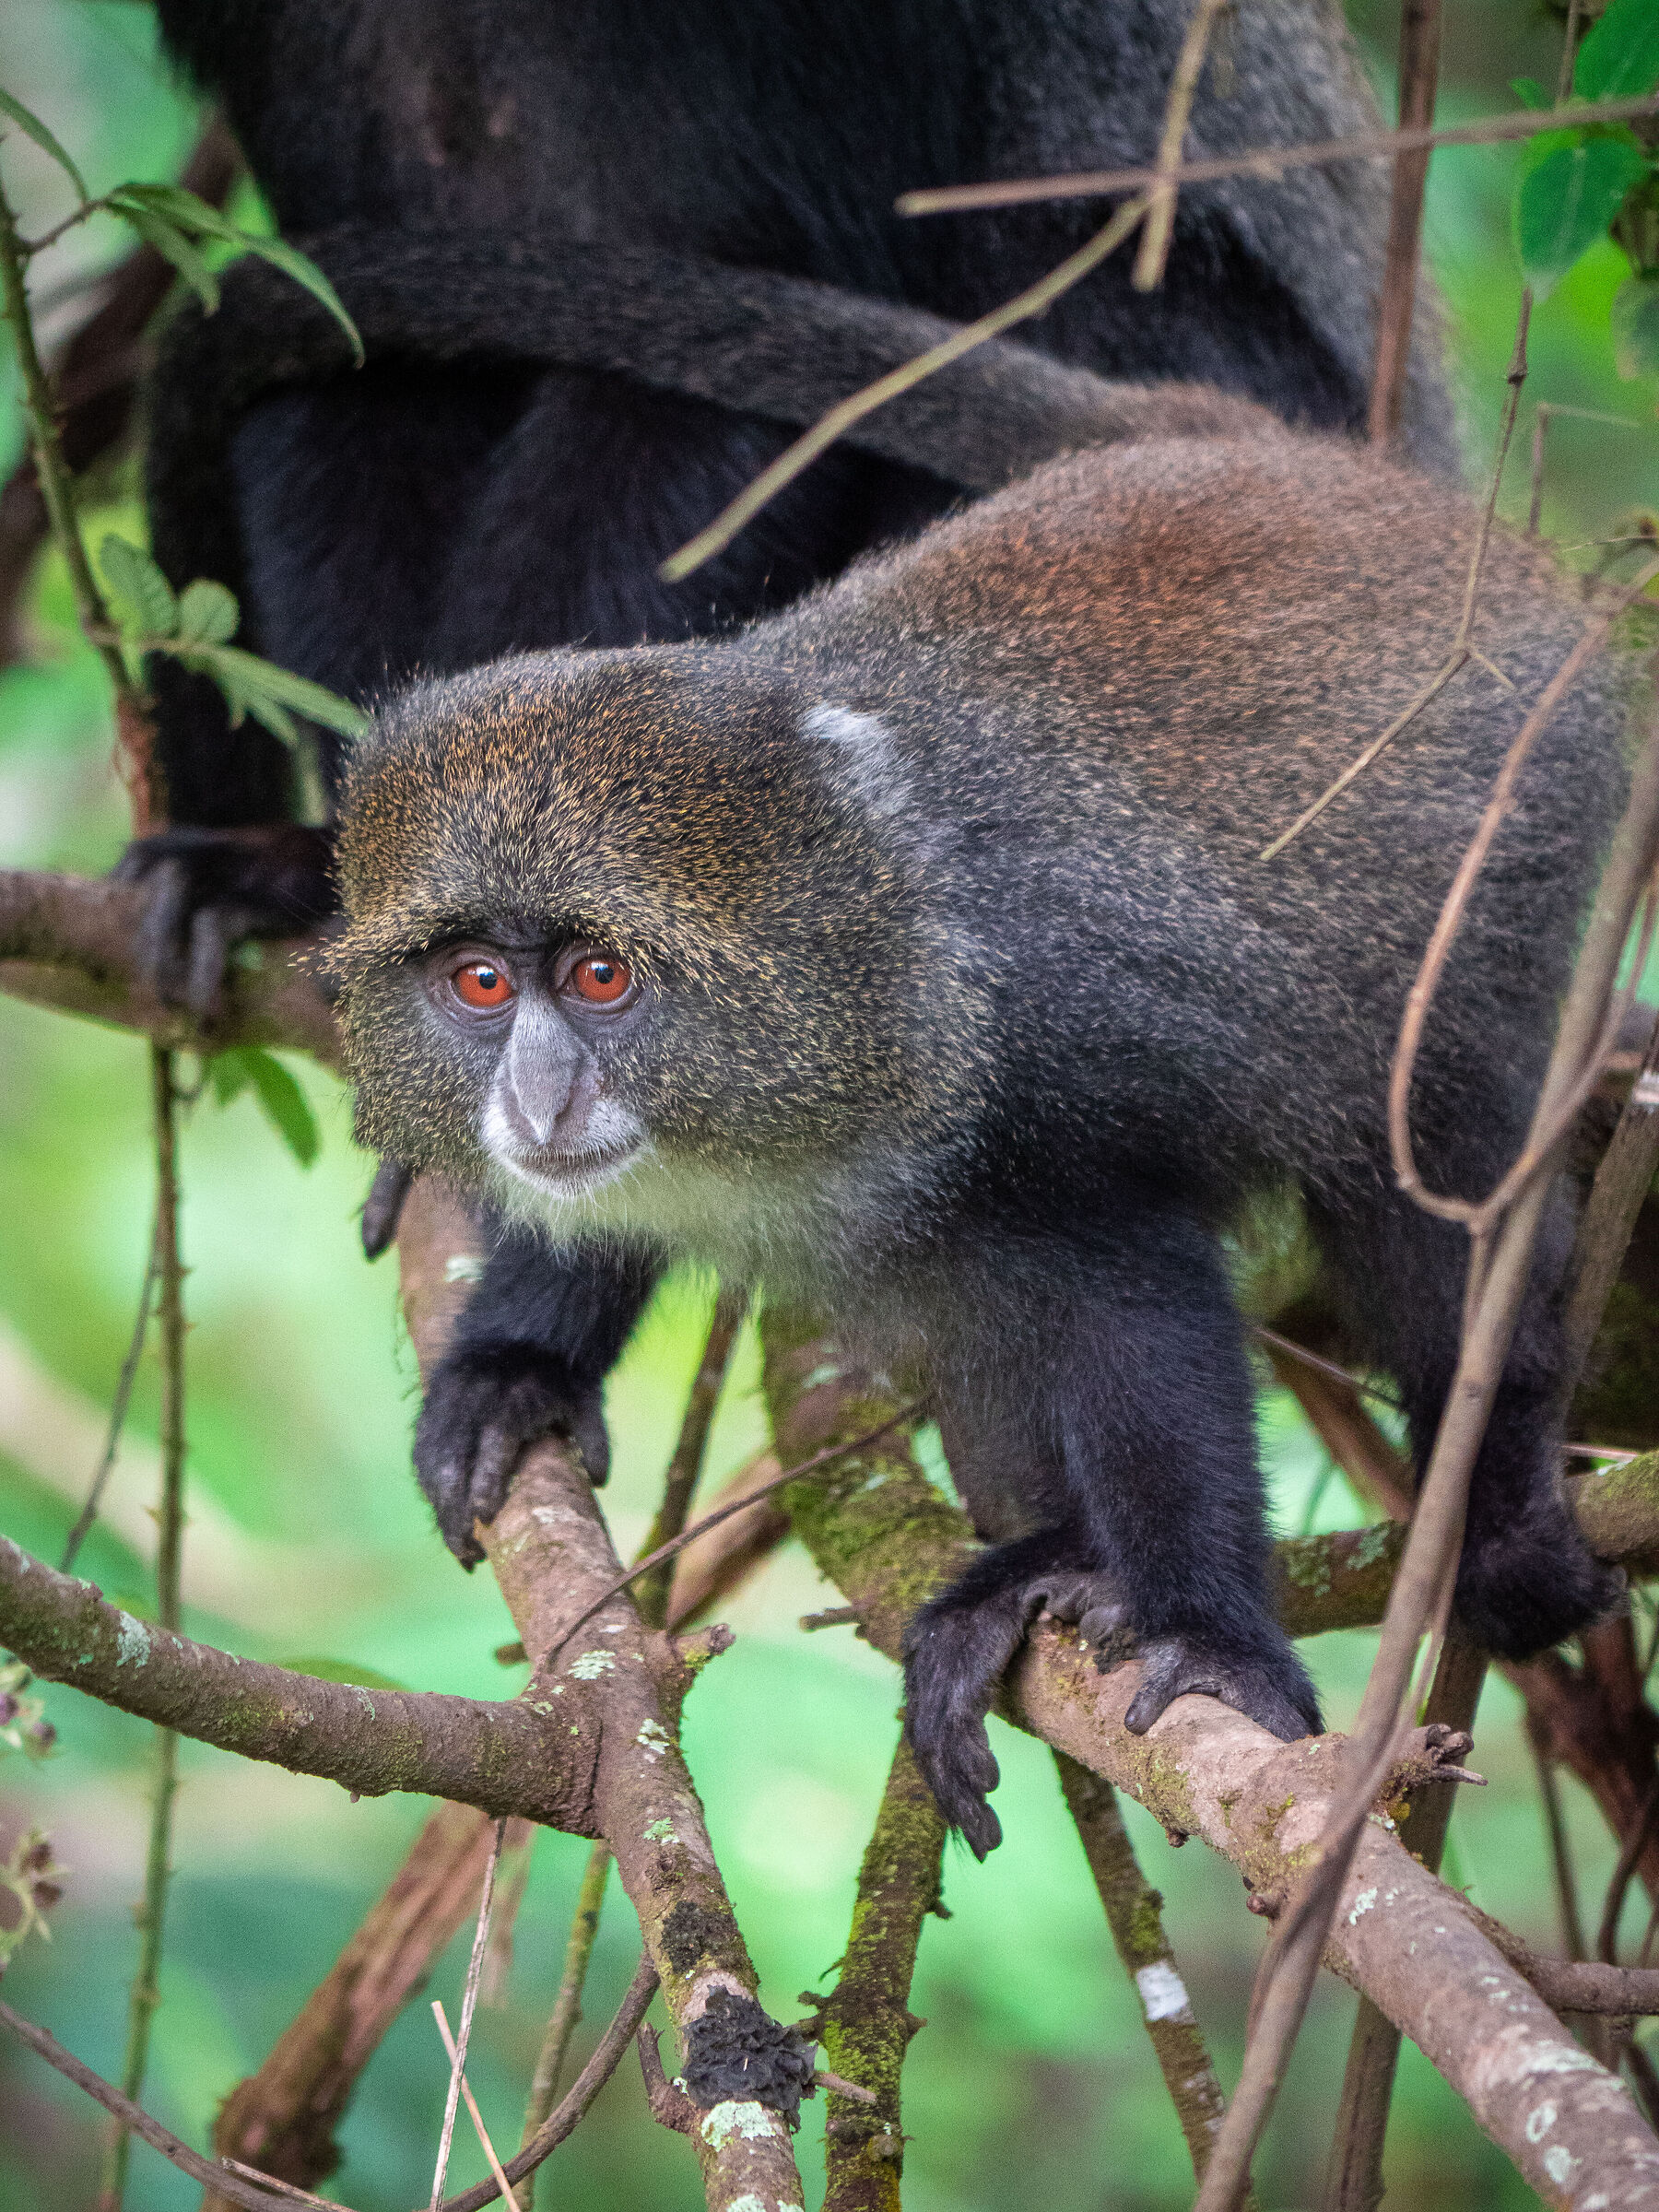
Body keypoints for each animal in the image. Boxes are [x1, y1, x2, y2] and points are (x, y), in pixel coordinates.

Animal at [330, 422, 1628, 1855]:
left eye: (600, 975)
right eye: (480, 984)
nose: (539, 1100)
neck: (876, 927)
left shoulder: (1061, 1058)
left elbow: (1144, 1310)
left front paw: (1210, 1641)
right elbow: (590, 1223)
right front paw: (517, 1362)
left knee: (1431, 1190)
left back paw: (1490, 1500)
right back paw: (1048, 1554)